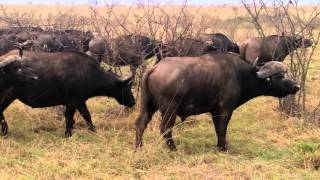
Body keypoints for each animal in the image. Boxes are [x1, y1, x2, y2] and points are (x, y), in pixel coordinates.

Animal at [0, 49, 136, 136]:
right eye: (127, 87)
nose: (133, 102)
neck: (88, 73)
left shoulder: (80, 101)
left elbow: (87, 116)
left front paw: (93, 130)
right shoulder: (72, 102)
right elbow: (69, 118)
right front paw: (68, 134)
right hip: (8, 96)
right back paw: (5, 130)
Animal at [135, 52, 300, 151]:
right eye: (280, 76)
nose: (296, 86)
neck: (241, 75)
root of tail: (155, 69)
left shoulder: (215, 112)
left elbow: (217, 129)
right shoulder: (225, 110)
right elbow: (222, 129)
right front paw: (223, 147)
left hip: (148, 105)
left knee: (140, 124)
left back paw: (138, 147)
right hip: (169, 108)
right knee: (165, 128)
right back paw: (173, 148)